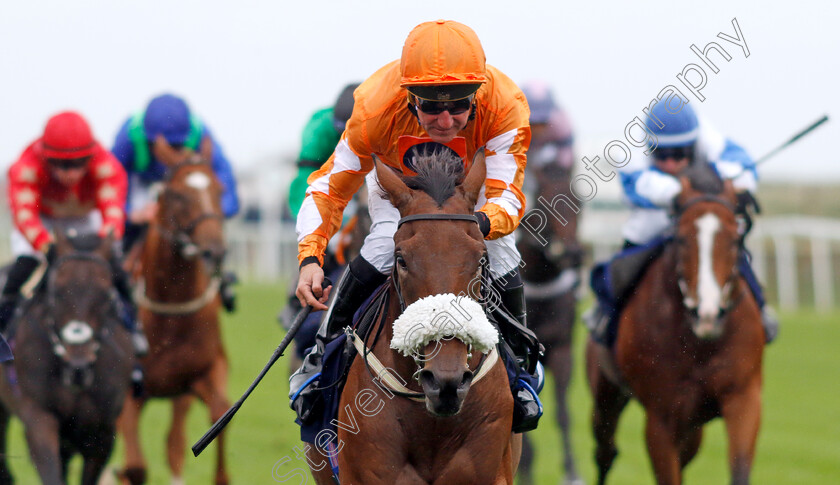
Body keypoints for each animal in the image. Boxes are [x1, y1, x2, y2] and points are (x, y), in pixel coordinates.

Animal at [117, 138, 230, 484]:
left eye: (219, 189)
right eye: (176, 194)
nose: (214, 251)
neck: (169, 309)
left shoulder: (206, 372)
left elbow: (220, 412)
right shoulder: (128, 392)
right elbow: (134, 466)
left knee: (175, 443)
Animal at [588, 167, 764, 484]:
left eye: (734, 239)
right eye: (681, 239)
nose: (707, 314)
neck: (699, 344)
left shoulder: (744, 397)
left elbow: (739, 468)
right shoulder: (661, 418)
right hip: (606, 396)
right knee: (605, 450)